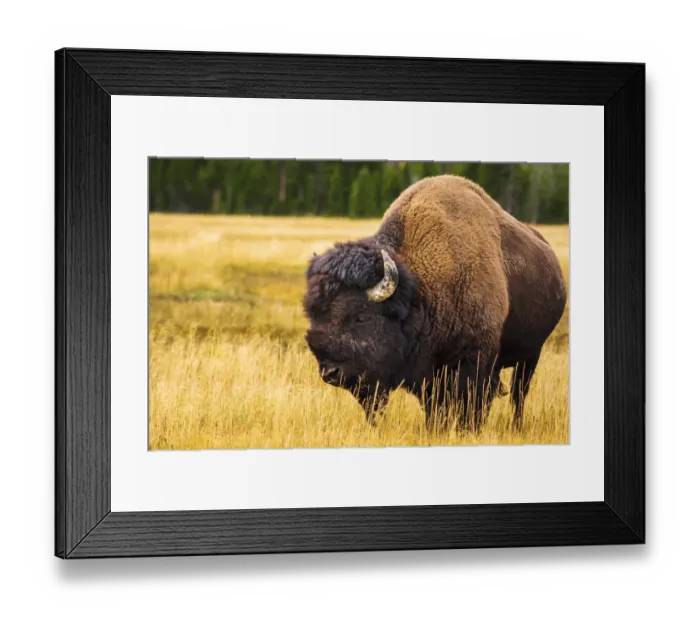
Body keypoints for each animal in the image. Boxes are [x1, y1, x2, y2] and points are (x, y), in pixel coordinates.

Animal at [303, 174, 567, 432]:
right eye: (314, 316)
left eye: (361, 316)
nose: (330, 372)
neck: (421, 290)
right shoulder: (429, 371)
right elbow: (435, 405)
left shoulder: (474, 360)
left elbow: (471, 399)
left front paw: (467, 430)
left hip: (531, 354)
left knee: (518, 394)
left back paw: (516, 426)